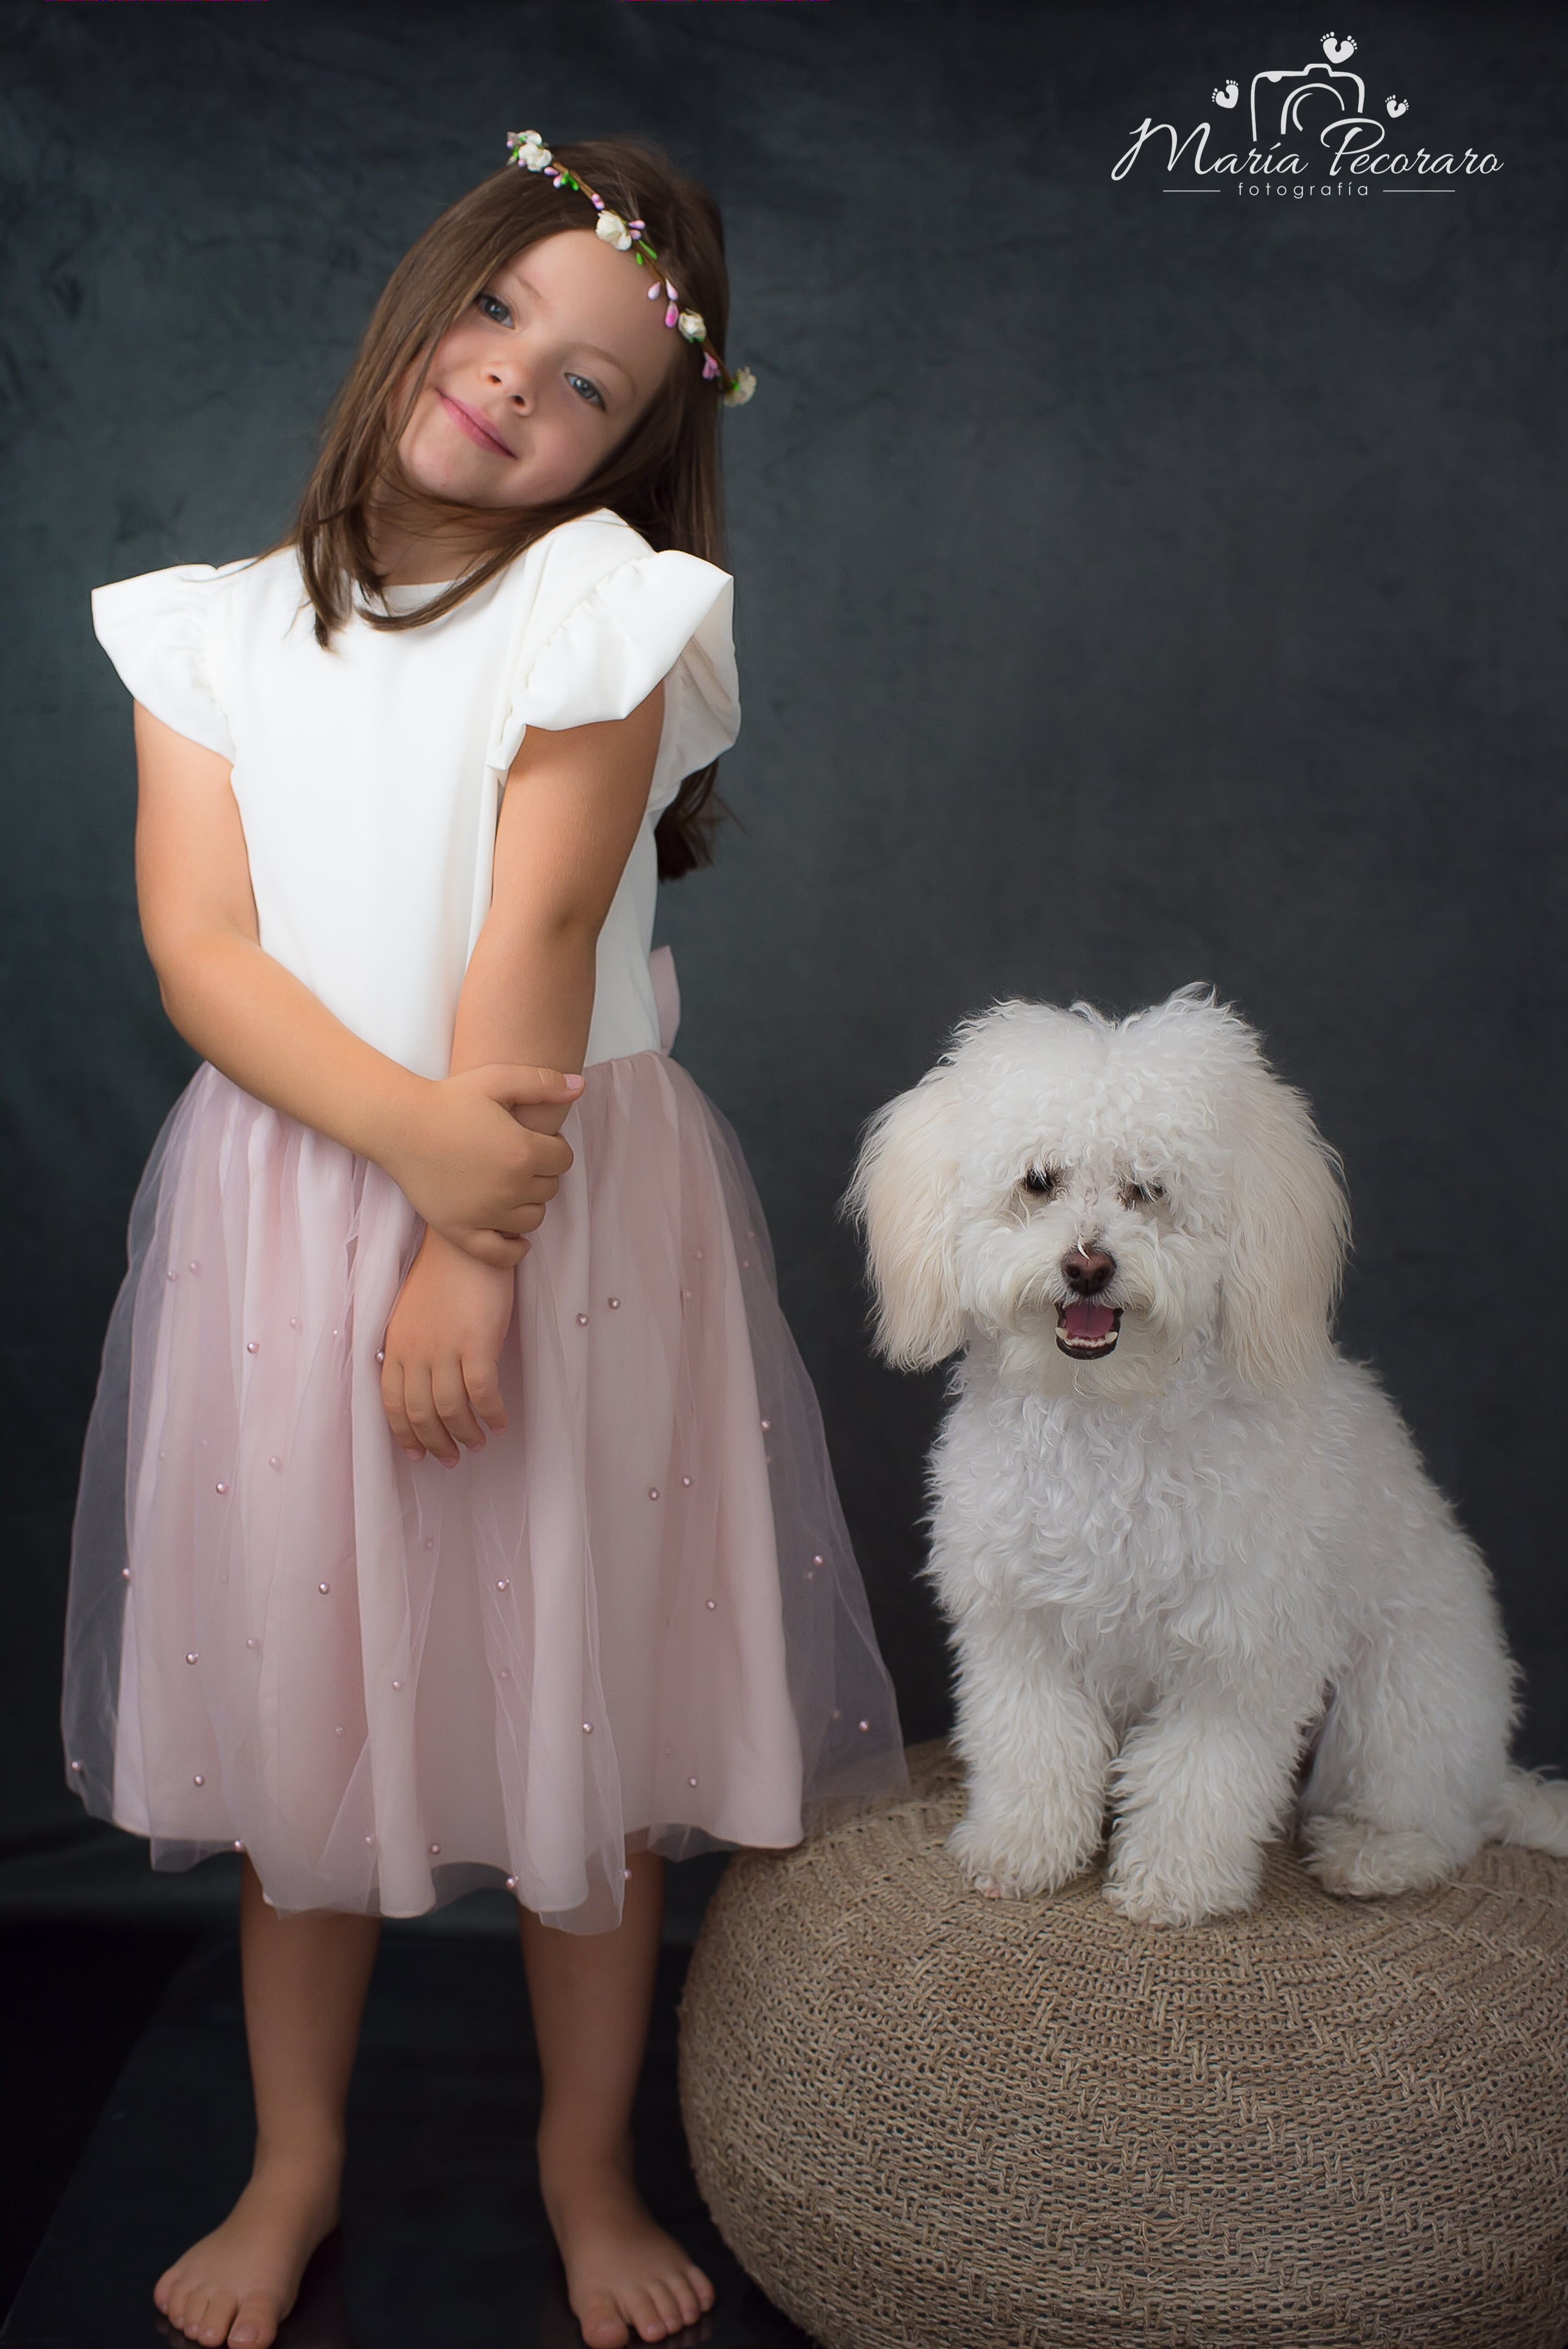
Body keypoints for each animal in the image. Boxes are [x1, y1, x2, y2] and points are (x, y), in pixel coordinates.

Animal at [847, 988, 1568, 1926]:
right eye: (1038, 1182)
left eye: (1147, 1189)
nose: (1087, 1265)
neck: (1106, 1414)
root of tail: (1494, 1777)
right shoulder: (1020, 1633)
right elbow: (1034, 1749)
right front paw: (1022, 1850)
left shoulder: (1237, 1649)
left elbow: (1200, 1777)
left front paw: (1173, 1884)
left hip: (1401, 1697)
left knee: (1434, 1819)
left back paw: (1374, 1855)